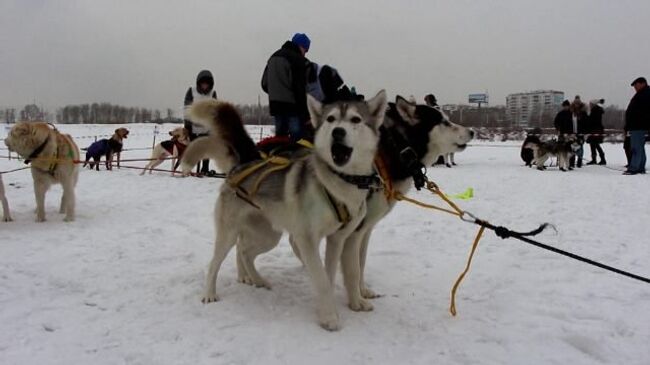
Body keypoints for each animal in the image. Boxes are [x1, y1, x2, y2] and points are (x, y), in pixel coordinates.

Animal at [180, 90, 388, 330]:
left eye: (355, 119)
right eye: (331, 119)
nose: (338, 132)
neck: (339, 183)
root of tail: (241, 166)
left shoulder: (343, 238)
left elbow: (349, 272)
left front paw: (355, 303)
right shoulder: (307, 239)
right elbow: (321, 279)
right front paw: (329, 317)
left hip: (268, 235)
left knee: (244, 251)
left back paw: (255, 279)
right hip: (229, 234)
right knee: (215, 263)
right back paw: (210, 293)